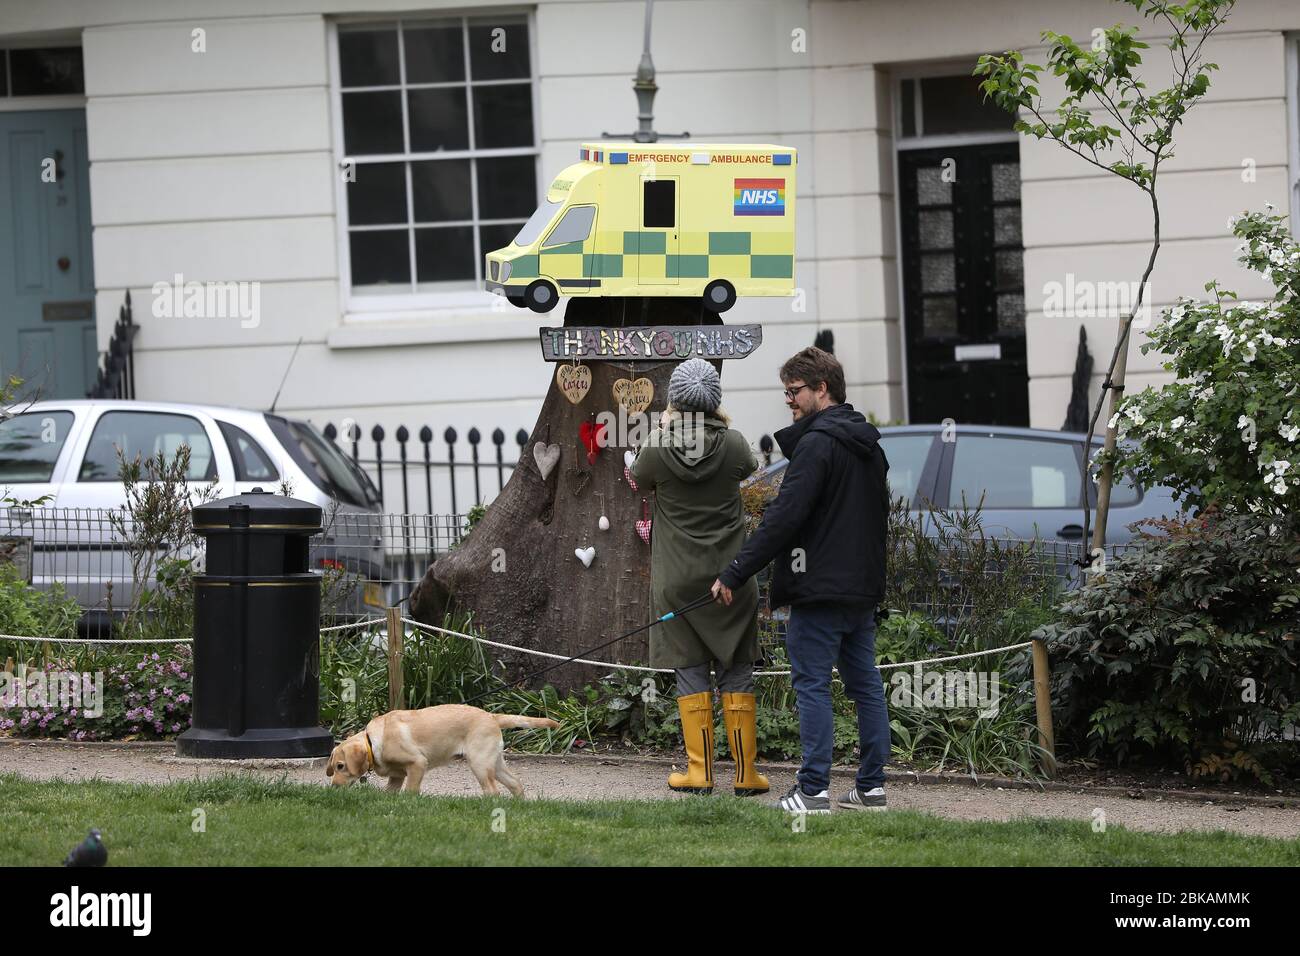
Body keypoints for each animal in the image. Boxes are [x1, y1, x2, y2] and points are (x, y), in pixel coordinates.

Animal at [325, 707, 559, 796]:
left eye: (340, 766)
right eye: (334, 768)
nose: (333, 788)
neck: (372, 742)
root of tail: (491, 716)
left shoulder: (418, 764)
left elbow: (410, 791)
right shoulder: (396, 777)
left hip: (480, 763)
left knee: (492, 791)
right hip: (495, 763)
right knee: (515, 784)